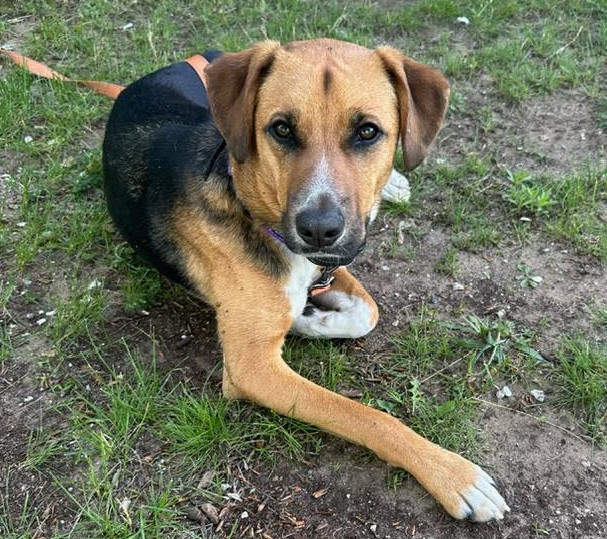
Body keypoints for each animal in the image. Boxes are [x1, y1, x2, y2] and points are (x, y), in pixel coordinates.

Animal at [103, 39, 508, 524]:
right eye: (281, 129)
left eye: (368, 132)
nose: (318, 229)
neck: (250, 207)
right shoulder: (252, 368)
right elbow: (366, 415)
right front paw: (453, 475)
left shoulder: (329, 263)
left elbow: (368, 311)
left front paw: (311, 318)